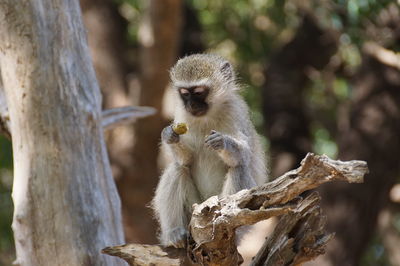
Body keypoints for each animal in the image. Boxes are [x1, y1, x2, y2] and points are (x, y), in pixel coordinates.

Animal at [152, 53, 268, 248]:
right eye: (184, 94)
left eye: (199, 92)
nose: (191, 105)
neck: (207, 117)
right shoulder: (182, 115)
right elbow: (186, 160)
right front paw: (169, 135)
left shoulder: (235, 112)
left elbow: (244, 154)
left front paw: (223, 142)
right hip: (194, 211)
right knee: (177, 169)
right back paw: (174, 234)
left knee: (238, 169)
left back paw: (226, 224)